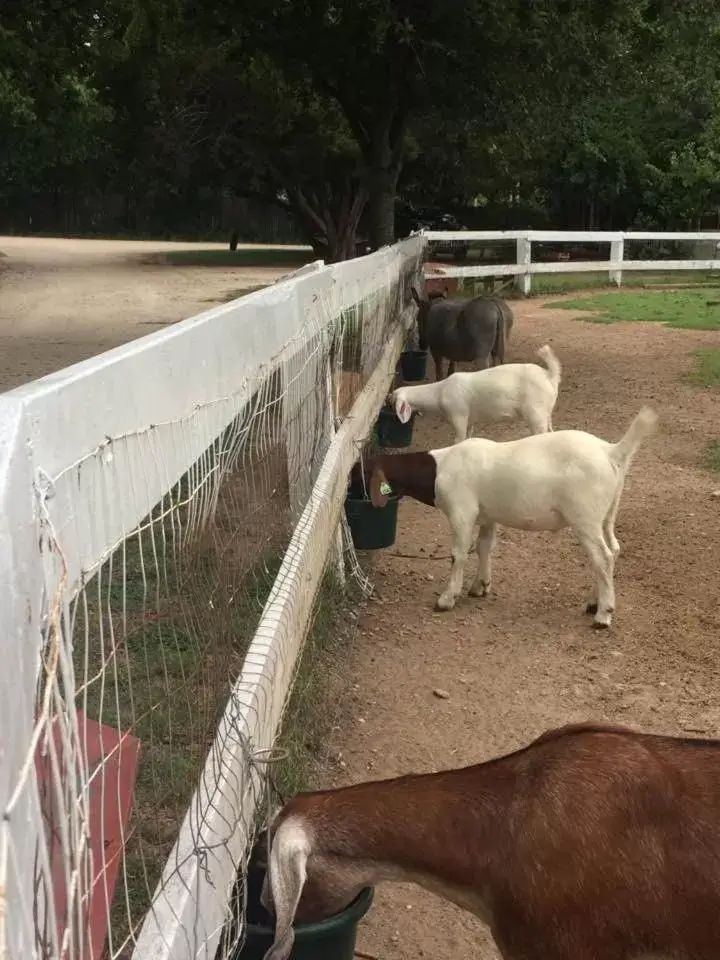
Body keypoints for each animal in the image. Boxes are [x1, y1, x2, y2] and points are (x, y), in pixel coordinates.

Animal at [358, 406, 660, 628]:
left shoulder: (461, 512)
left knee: (602, 557)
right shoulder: (487, 516)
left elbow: (458, 554)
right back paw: (594, 602)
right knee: (613, 551)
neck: (439, 468)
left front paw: (446, 598)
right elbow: (484, 547)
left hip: (584, 516)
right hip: (606, 514)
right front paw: (480, 586)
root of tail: (612, 452)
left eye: (360, 473)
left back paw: (603, 614)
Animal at [390, 344, 560, 442]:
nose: (387, 397)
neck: (439, 393)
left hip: (536, 414)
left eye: (392, 398)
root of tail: (549, 375)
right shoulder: (470, 420)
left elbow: (459, 440)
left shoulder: (458, 416)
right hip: (546, 412)